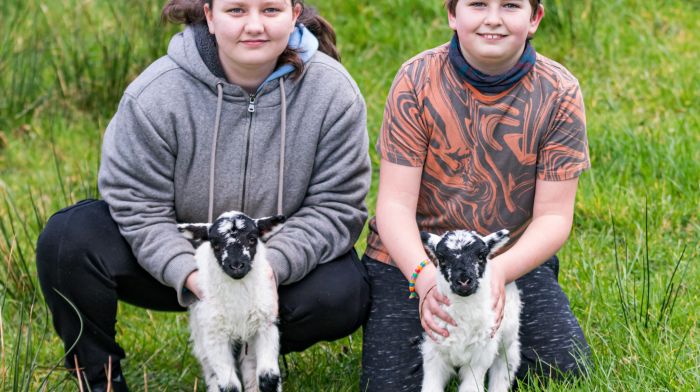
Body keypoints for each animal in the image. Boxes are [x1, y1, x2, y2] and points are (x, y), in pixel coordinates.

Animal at [179, 211, 286, 392]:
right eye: (215, 244)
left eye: (252, 239)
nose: (236, 266)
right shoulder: (215, 335)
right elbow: (230, 386)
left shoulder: (266, 325)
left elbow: (268, 379)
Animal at [418, 228, 524, 392]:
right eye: (442, 259)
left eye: (481, 256)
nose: (464, 281)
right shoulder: (434, 351)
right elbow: (431, 387)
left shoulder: (480, 356)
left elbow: (471, 387)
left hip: (508, 335)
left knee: (506, 363)